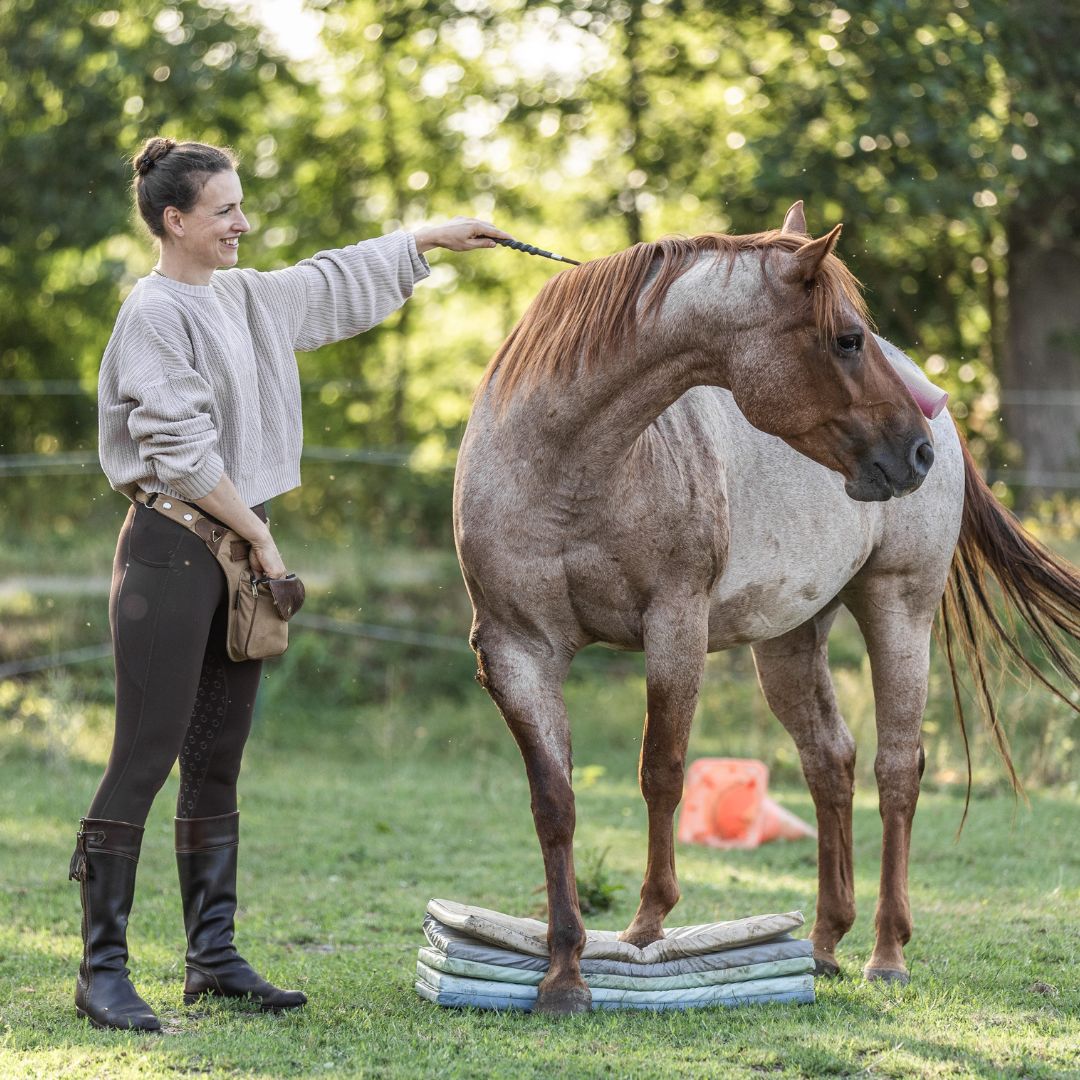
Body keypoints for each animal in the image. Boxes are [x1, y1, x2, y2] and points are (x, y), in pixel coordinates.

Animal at [449, 200, 1080, 1010]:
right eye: (847, 339)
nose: (915, 452)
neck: (564, 469)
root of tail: (936, 399)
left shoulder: (675, 626)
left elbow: (662, 771)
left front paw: (647, 925)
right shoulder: (517, 652)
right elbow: (553, 801)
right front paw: (564, 975)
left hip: (899, 607)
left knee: (896, 771)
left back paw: (886, 952)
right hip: (790, 638)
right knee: (830, 762)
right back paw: (823, 944)